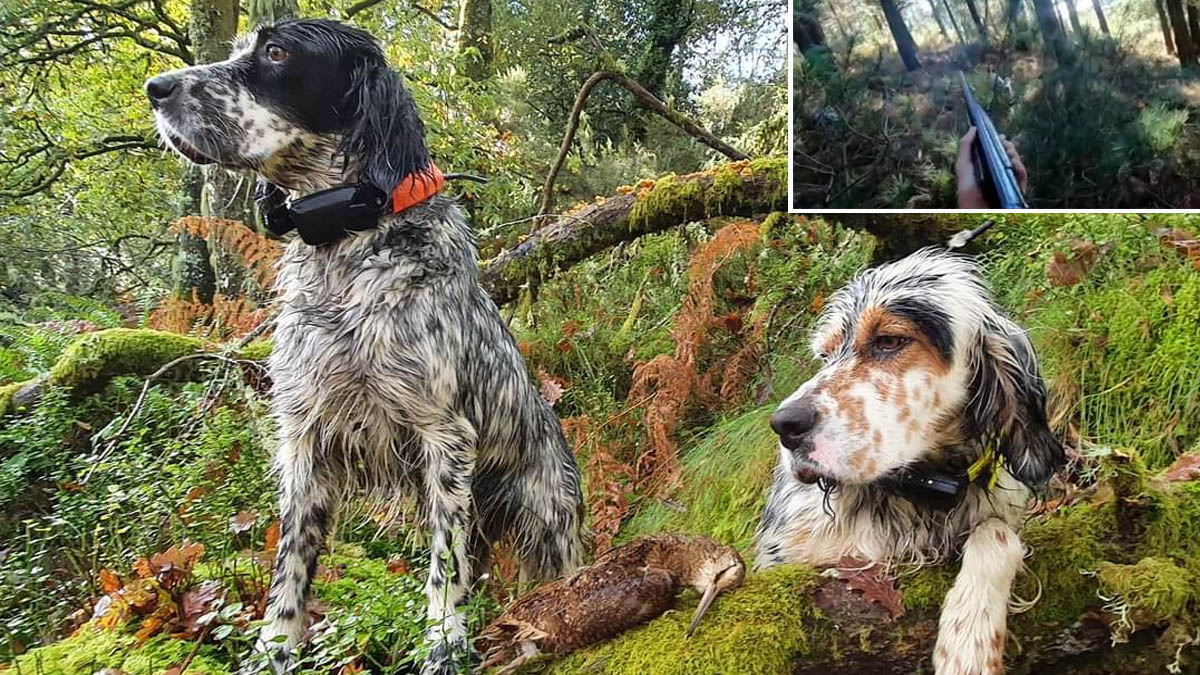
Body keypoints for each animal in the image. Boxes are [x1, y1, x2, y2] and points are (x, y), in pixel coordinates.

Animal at [145, 18, 585, 667]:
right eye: (239, 49)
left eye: (276, 52)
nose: (156, 87)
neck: (345, 254)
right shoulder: (304, 440)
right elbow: (290, 565)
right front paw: (274, 649)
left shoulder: (443, 435)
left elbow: (442, 565)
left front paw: (444, 642)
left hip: (548, 519)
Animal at [753, 248, 1065, 672]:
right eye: (825, 355)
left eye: (888, 341)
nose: (784, 425)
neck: (918, 493)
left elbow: (996, 534)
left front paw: (968, 642)